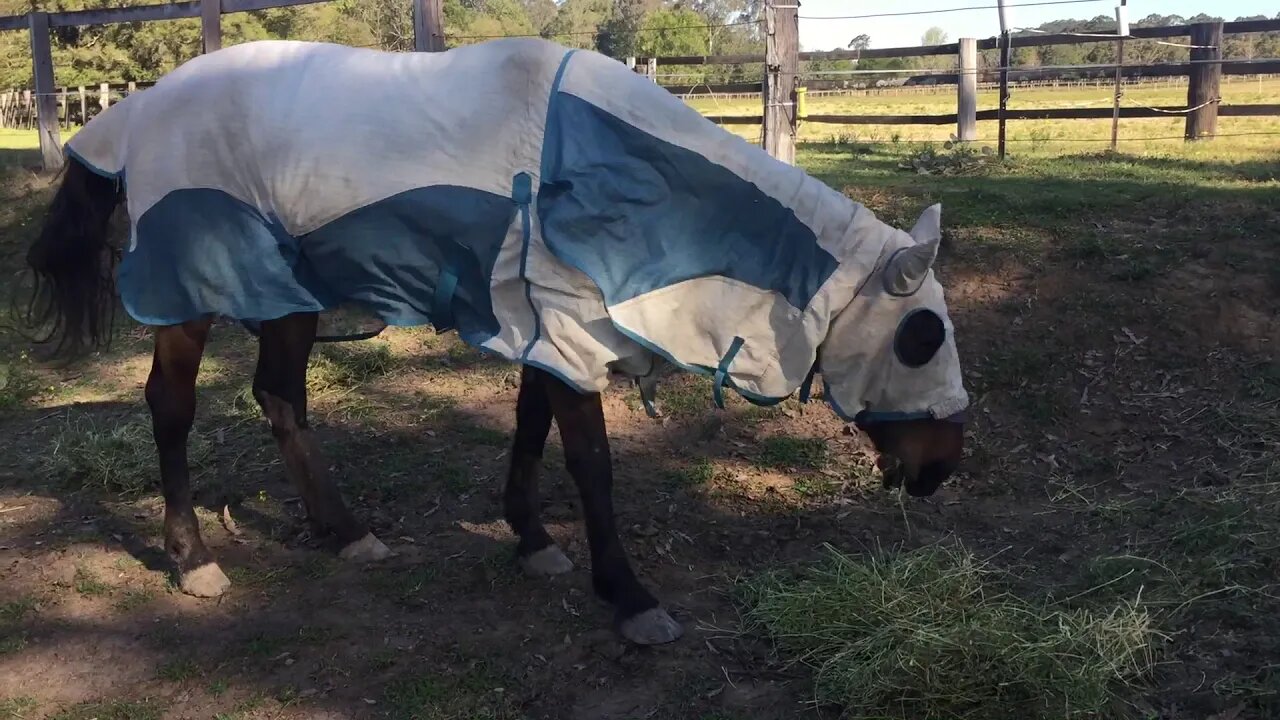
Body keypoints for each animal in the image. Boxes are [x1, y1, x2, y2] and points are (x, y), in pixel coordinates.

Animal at [20, 36, 962, 645]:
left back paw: (344, 530)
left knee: (280, 400)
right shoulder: (569, 332)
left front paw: (533, 540)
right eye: (921, 337)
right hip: (196, 293)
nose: (940, 470)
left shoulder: (543, 324)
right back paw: (193, 559)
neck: (601, 170)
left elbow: (529, 430)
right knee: (172, 408)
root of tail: (137, 110)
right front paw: (628, 595)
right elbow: (590, 463)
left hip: (286, 293)